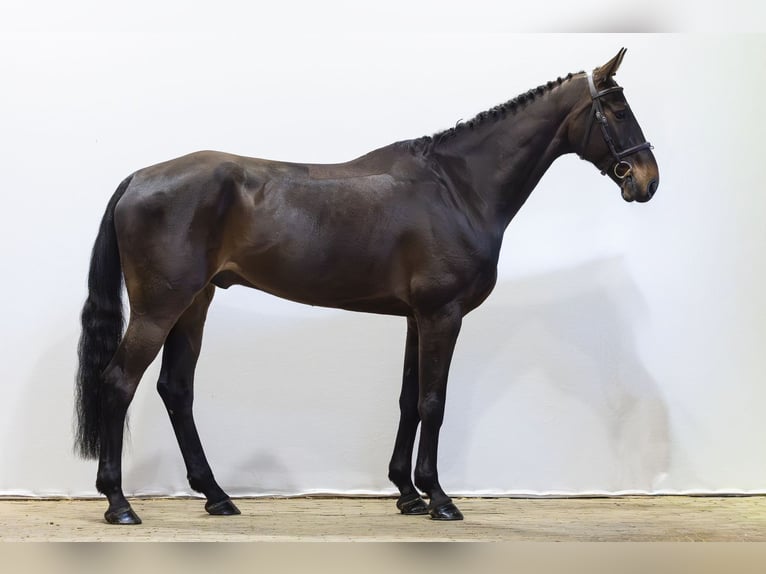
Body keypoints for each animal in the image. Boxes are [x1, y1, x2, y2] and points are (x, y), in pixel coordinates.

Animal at [75, 48, 658, 524]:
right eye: (618, 110)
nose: (646, 180)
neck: (457, 188)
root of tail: (138, 178)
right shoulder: (442, 314)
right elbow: (433, 402)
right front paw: (439, 499)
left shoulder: (416, 317)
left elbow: (408, 400)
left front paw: (407, 494)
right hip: (159, 308)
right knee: (119, 382)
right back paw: (119, 504)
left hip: (194, 303)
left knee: (176, 388)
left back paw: (216, 496)